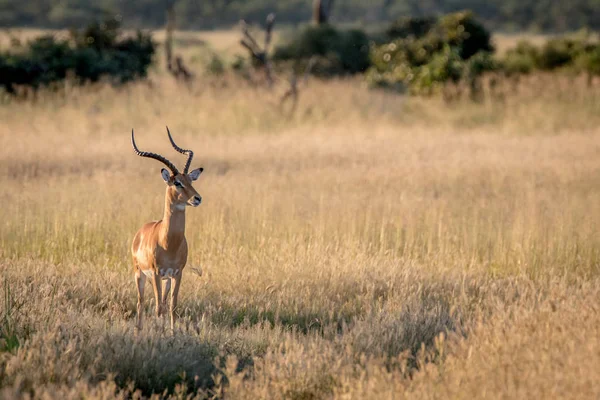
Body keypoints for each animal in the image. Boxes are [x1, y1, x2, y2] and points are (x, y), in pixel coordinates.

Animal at [130, 127, 203, 332]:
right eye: (177, 182)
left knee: (162, 302)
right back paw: (139, 331)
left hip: (166, 280)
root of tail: (141, 231)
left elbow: (172, 305)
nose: (197, 198)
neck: (168, 242)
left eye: (190, 180)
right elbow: (157, 307)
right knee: (141, 302)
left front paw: (171, 332)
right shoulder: (156, 273)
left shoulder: (177, 273)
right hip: (140, 274)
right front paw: (159, 332)